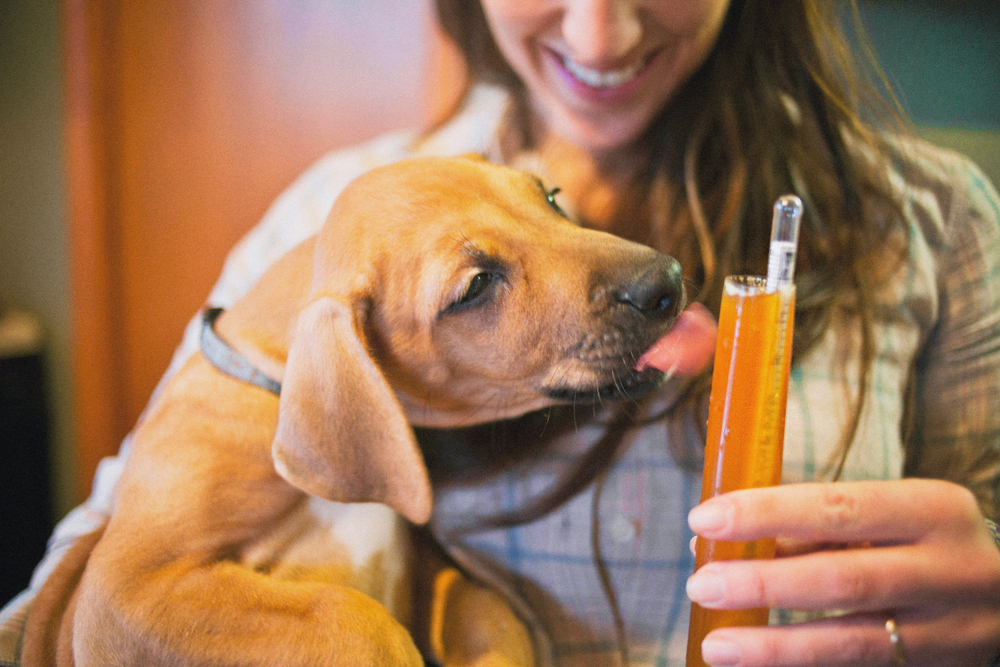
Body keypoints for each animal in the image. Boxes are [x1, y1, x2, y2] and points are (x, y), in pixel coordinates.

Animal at [23, 155, 684, 667]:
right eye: (475, 287)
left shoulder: (440, 576)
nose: (669, 281)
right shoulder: (128, 588)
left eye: (550, 197)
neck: (269, 386)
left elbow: (494, 619)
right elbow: (350, 614)